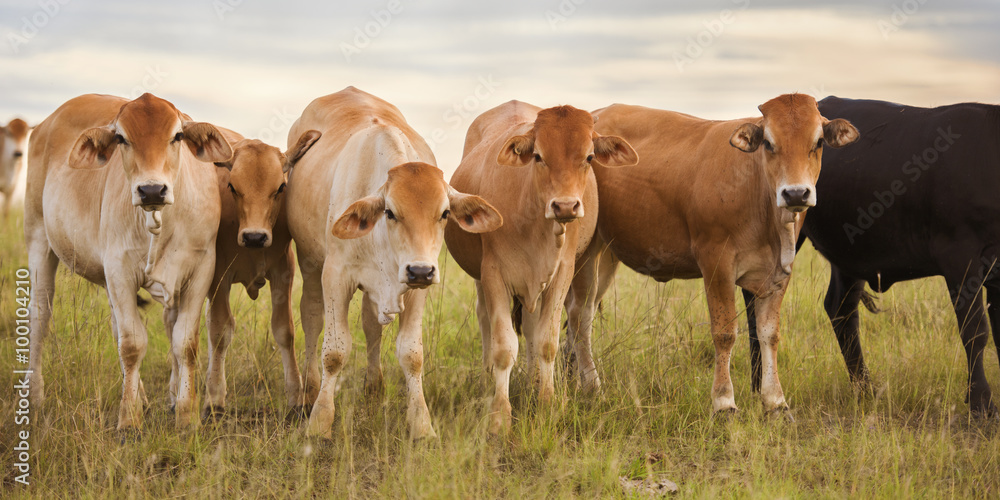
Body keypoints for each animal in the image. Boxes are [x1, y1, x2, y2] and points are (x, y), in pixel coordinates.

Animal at [26, 93, 232, 430]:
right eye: (121, 138)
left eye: (177, 136)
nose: (151, 190)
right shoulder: (119, 270)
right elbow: (133, 345)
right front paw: (129, 420)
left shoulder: (201, 269)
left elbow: (185, 343)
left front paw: (186, 415)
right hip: (38, 239)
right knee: (39, 317)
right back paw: (35, 396)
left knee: (114, 326)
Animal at [164, 132, 320, 418]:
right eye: (232, 187)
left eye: (280, 188)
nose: (254, 237)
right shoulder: (217, 277)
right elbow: (219, 332)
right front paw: (214, 398)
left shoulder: (284, 271)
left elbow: (284, 330)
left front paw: (295, 394)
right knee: (173, 325)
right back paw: (174, 391)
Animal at [448, 99, 640, 432]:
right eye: (538, 156)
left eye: (589, 156)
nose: (565, 206)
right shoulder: (493, 275)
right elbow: (503, 347)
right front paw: (500, 415)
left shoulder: (561, 274)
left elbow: (546, 342)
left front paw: (548, 403)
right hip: (482, 281)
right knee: (486, 321)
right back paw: (489, 380)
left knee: (543, 326)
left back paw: (537, 382)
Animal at [564, 95, 860, 416]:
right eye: (769, 143)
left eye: (818, 142)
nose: (795, 194)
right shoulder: (716, 263)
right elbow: (725, 332)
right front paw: (724, 402)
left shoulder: (780, 271)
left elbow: (769, 334)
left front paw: (775, 401)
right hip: (587, 251)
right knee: (580, 315)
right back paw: (592, 386)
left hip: (607, 253)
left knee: (581, 313)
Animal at [748, 95, 1000, 416]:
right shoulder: (960, 256)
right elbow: (976, 330)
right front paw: (982, 403)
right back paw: (759, 385)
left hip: (849, 256)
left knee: (840, 310)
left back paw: (865, 388)